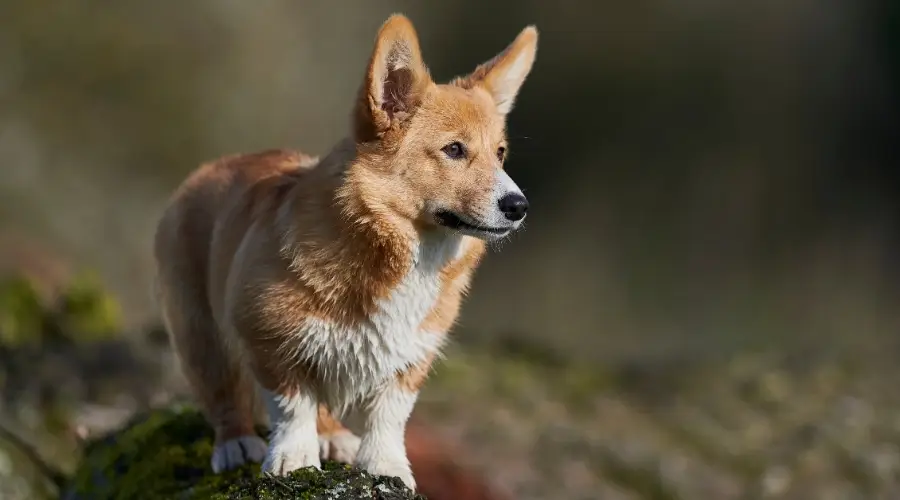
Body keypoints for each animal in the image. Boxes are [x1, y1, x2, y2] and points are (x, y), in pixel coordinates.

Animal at [152, 13, 536, 490]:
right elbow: (293, 406)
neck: (400, 248)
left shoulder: (411, 356)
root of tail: (213, 166)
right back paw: (236, 443)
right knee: (220, 388)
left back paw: (334, 438)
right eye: (453, 149)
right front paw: (294, 460)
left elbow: (389, 418)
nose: (519, 206)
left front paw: (386, 467)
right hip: (197, 328)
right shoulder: (270, 340)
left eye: (500, 154)